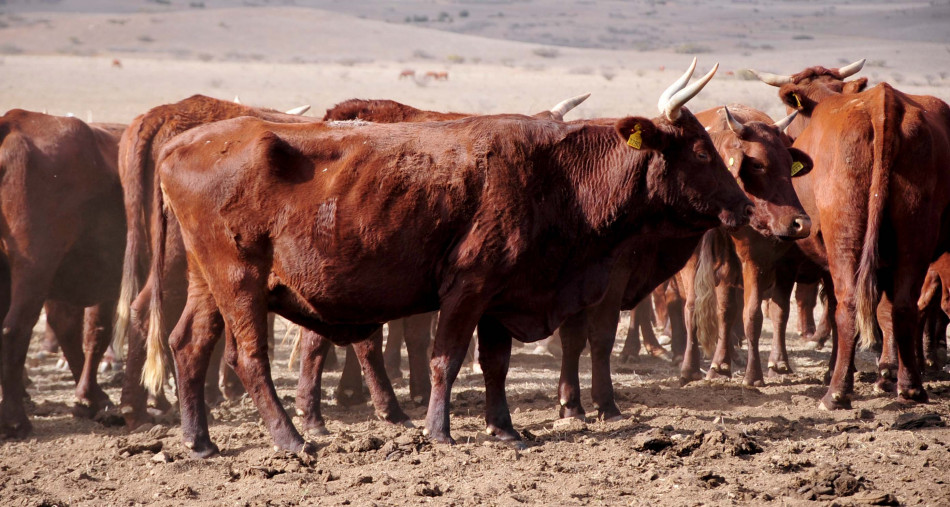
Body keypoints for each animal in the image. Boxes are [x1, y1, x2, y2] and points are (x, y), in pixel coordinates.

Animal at [145, 62, 756, 456]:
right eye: (701, 151)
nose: (746, 205)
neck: (554, 175)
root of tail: (183, 143)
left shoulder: (504, 294)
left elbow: (496, 364)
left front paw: (505, 429)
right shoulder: (469, 285)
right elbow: (446, 358)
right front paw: (438, 430)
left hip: (208, 283)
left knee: (189, 345)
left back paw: (199, 442)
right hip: (239, 281)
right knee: (246, 358)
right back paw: (292, 439)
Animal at [756, 59, 950, 408]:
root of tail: (884, 105)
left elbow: (834, 308)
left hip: (845, 237)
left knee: (847, 305)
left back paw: (837, 392)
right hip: (915, 234)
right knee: (903, 306)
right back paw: (909, 386)